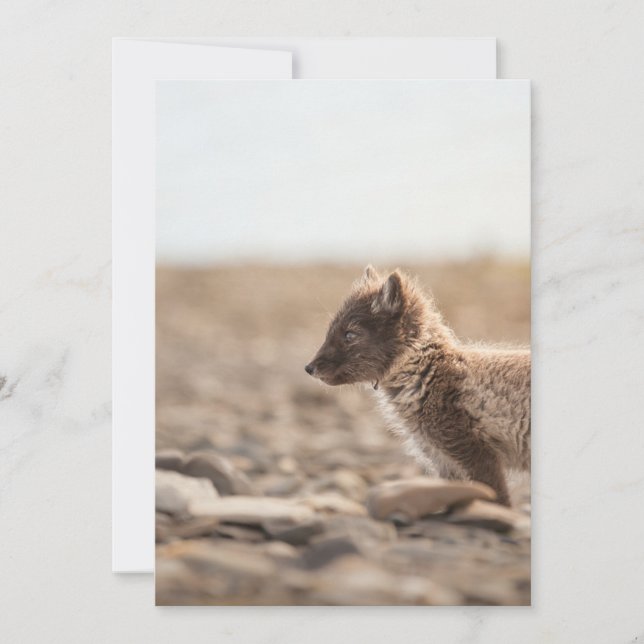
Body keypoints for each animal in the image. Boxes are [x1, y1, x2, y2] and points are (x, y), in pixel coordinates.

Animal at [305, 266, 530, 506]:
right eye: (330, 331)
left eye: (349, 334)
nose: (309, 368)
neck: (426, 372)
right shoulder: (442, 459)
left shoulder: (475, 453)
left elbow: (498, 500)